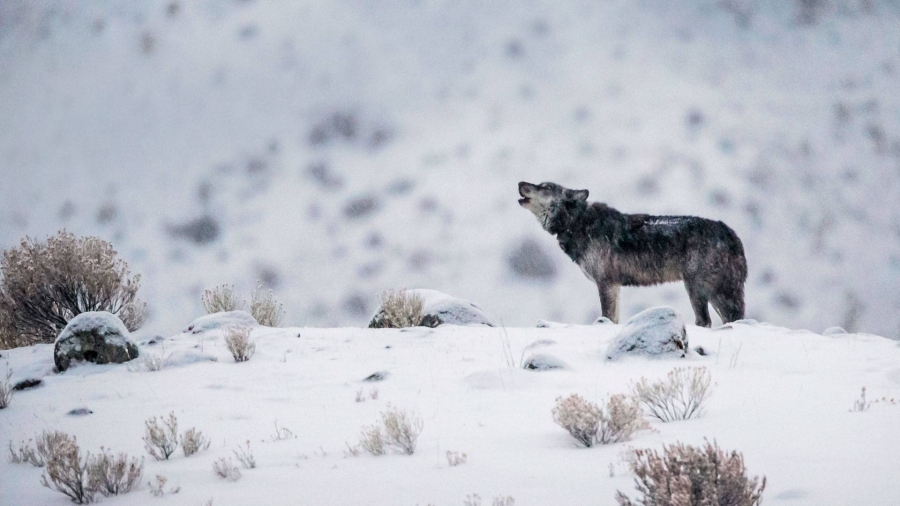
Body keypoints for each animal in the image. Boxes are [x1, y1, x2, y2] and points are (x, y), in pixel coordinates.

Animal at [516, 182, 748, 328]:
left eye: (545, 187)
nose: (520, 182)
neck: (577, 223)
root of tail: (730, 232)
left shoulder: (606, 283)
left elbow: (607, 316)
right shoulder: (615, 286)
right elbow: (614, 319)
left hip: (697, 288)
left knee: (705, 321)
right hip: (717, 293)